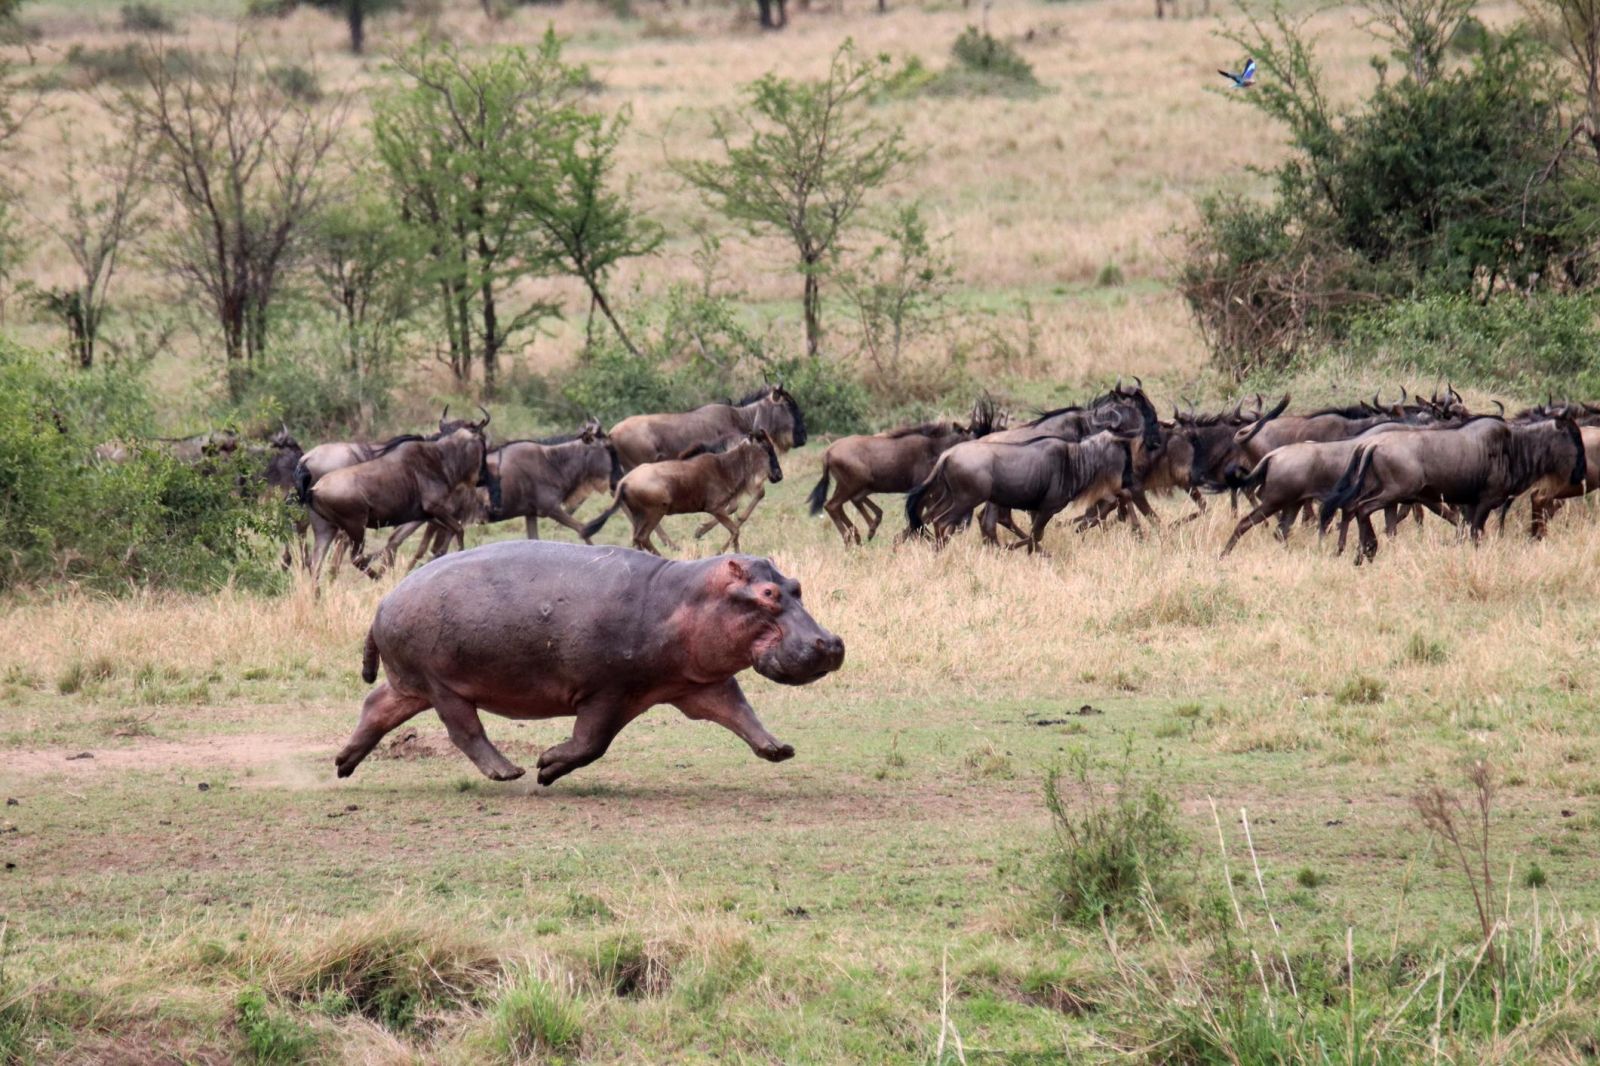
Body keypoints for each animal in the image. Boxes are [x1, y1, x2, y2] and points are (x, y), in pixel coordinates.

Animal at [332, 541, 844, 781]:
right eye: (769, 593)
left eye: (796, 585)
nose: (832, 643)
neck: (685, 598)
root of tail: (383, 602)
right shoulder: (608, 690)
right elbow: (591, 742)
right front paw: (546, 765)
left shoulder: (699, 683)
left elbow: (739, 712)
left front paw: (778, 749)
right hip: (443, 684)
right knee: (465, 730)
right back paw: (509, 772)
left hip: (411, 682)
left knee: (376, 706)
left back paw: (342, 763)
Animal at [588, 428, 787, 550]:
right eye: (766, 447)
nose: (778, 475)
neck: (726, 467)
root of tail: (624, 482)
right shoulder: (714, 508)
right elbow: (735, 529)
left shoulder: (720, 507)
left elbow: (734, 524)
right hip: (655, 512)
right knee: (642, 537)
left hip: (640, 515)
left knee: (637, 538)